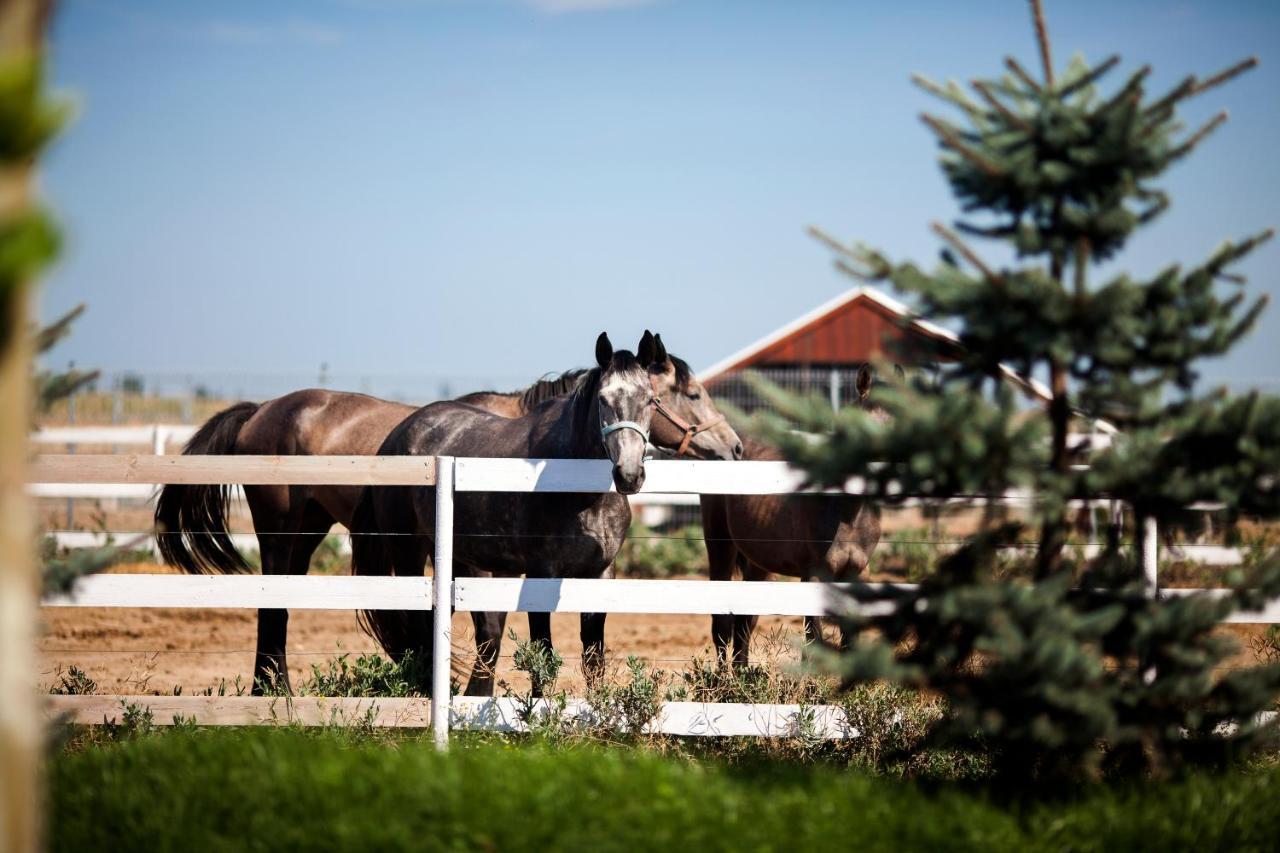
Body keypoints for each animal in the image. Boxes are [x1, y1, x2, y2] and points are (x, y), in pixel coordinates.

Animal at [701, 361, 890, 666]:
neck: (846, 511)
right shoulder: (813, 575)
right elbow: (814, 638)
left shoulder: (857, 574)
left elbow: (849, 638)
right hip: (721, 548)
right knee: (721, 623)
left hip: (759, 563)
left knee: (745, 621)